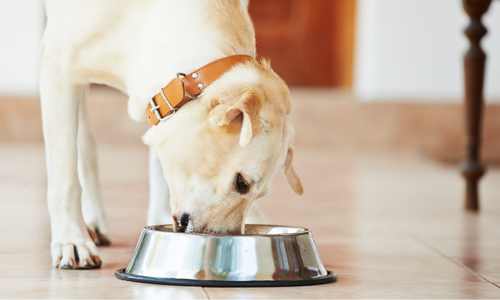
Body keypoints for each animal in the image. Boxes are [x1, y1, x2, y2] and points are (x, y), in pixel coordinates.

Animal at [41, 0, 300, 268]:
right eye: (242, 182)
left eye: (259, 194)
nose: (227, 243)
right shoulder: (57, 68)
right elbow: (65, 178)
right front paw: (72, 240)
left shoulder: (160, 107)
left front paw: (158, 219)